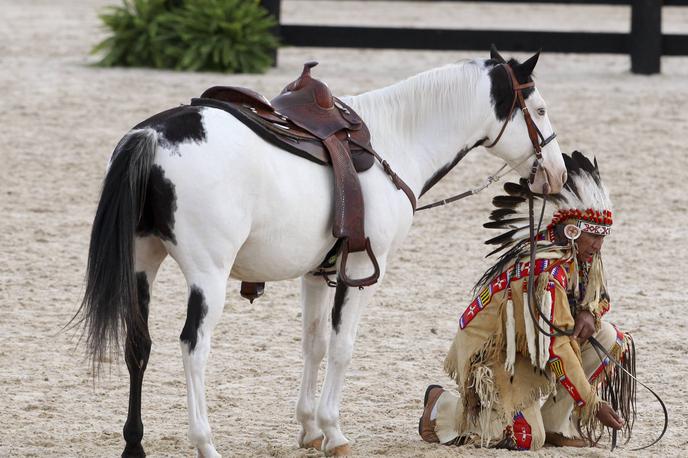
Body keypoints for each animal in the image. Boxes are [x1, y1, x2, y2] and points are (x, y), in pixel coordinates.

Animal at [79, 48, 564, 456]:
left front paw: (310, 429)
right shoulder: (364, 270)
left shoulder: (315, 274)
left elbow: (313, 344)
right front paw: (334, 431)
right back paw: (205, 443)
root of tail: (151, 136)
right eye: (539, 110)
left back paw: (134, 445)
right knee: (193, 348)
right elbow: (342, 346)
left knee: (138, 344)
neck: (393, 141)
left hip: (142, 265)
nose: (557, 174)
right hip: (208, 276)